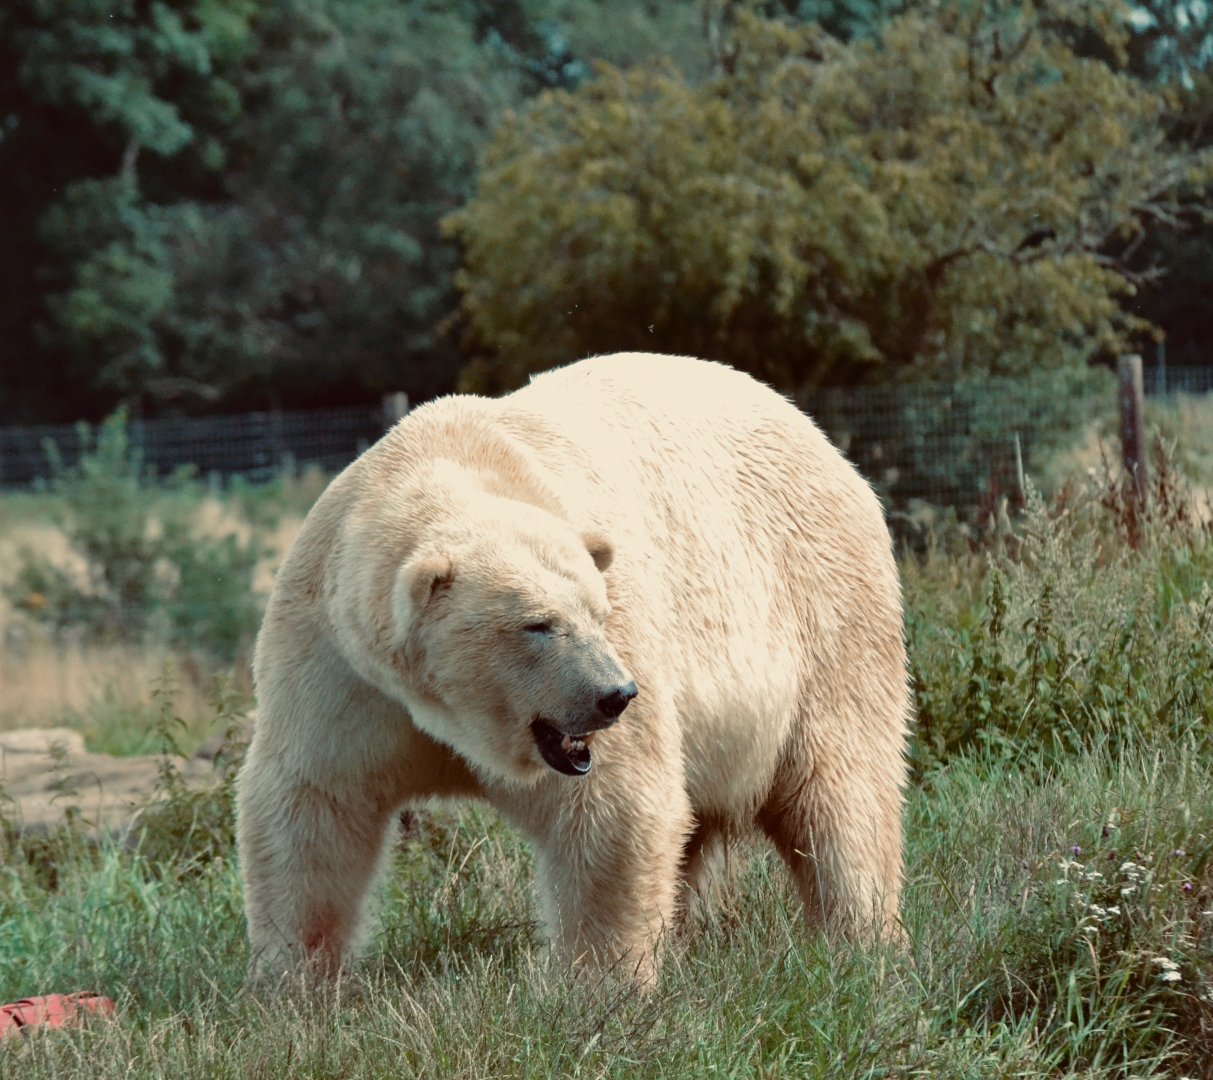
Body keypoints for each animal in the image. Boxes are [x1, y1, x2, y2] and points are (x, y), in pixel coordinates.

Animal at [235, 352, 911, 985]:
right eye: (537, 624)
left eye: (598, 612)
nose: (615, 694)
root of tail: (820, 439)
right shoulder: (341, 664)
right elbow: (314, 805)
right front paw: (296, 982)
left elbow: (614, 807)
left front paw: (601, 984)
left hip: (824, 607)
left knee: (841, 789)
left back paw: (863, 940)